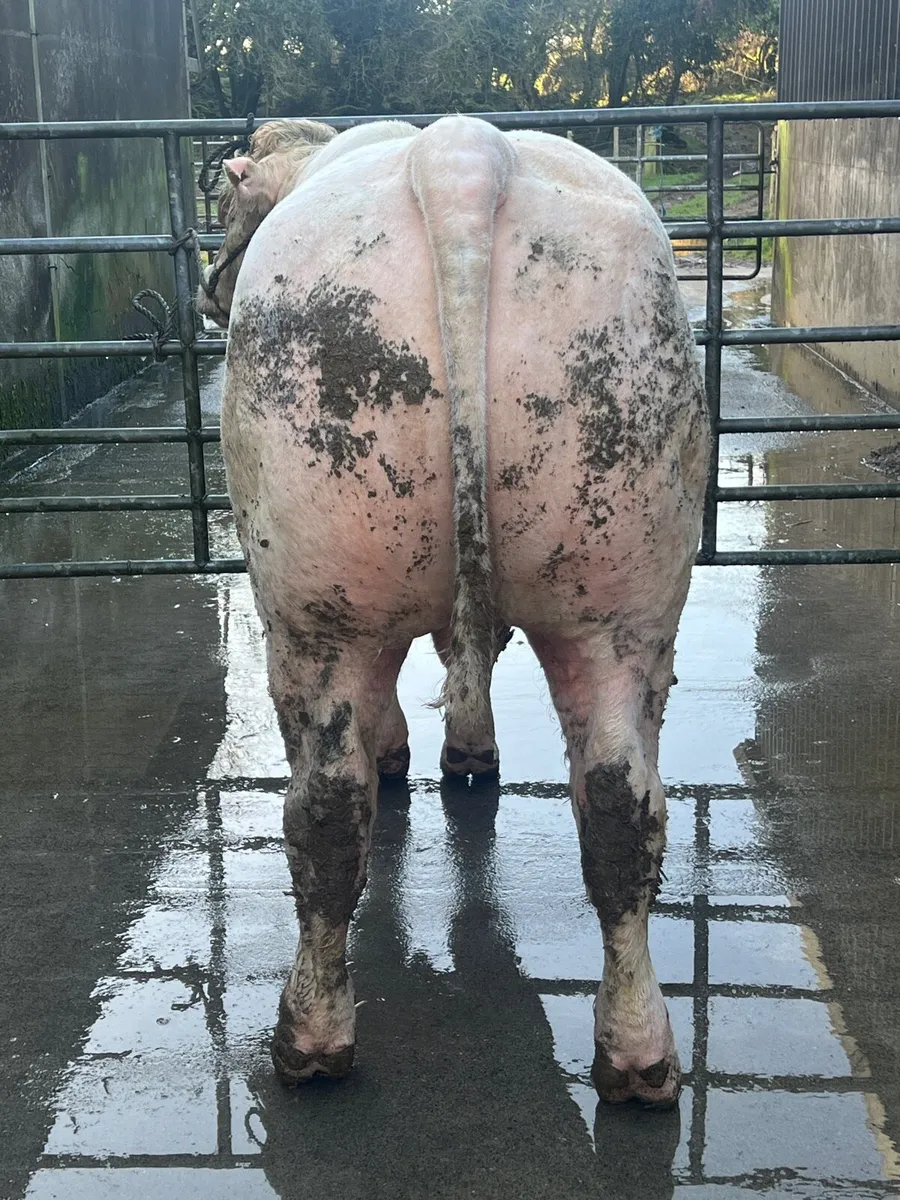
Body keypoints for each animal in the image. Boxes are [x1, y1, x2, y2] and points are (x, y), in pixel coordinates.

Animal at [196, 115, 710, 1108]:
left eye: (229, 205)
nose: (208, 288)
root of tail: (462, 154)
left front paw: (412, 752)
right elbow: (469, 648)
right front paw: (471, 751)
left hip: (314, 602)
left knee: (325, 810)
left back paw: (308, 1045)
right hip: (623, 580)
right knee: (621, 805)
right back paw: (638, 1059)